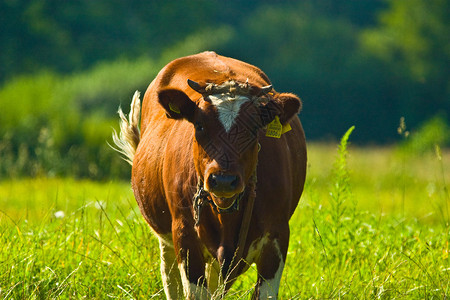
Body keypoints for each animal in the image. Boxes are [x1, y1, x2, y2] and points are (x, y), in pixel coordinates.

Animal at [112, 51, 308, 298]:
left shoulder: (277, 237)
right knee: (170, 277)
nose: (223, 180)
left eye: (254, 128)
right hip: (167, 237)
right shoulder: (185, 236)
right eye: (200, 125)